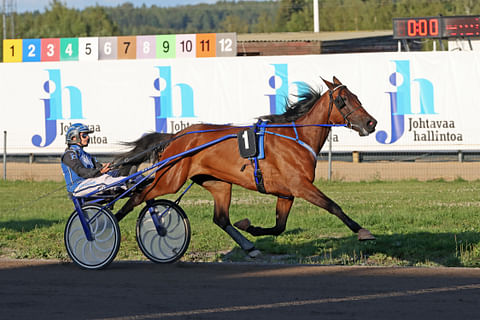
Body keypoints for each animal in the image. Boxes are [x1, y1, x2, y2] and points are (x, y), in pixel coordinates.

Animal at [114, 76, 376, 256]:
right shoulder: (300, 186)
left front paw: (250, 228)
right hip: (170, 179)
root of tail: (175, 137)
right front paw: (363, 231)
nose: (371, 122)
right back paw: (109, 225)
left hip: (218, 184)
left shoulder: (286, 193)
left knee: (221, 218)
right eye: (343, 101)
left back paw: (249, 246)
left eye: (356, 96)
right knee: (138, 196)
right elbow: (333, 206)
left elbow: (279, 227)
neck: (297, 138)